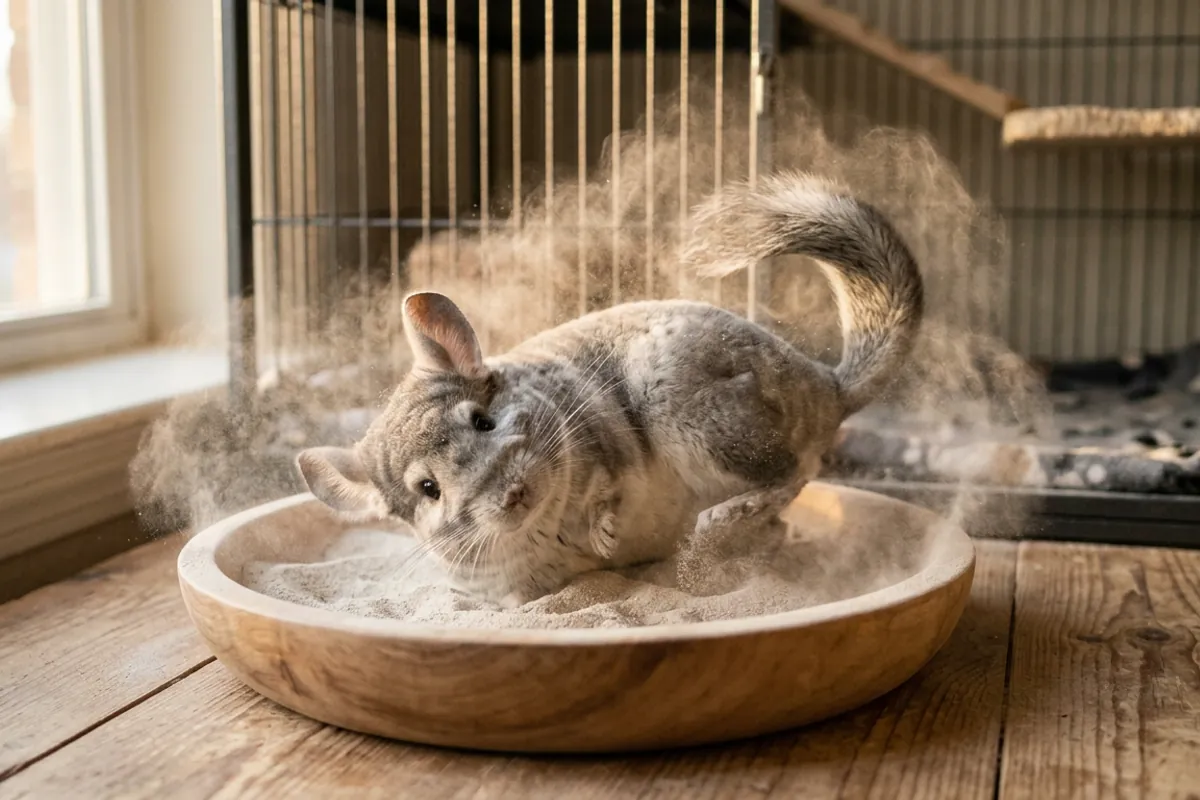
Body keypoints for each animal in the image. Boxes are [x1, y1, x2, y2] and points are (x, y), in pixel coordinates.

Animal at [296, 171, 924, 607]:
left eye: (482, 420)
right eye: (427, 489)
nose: (514, 493)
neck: (541, 526)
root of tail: (828, 385)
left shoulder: (599, 441)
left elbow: (605, 488)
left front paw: (604, 533)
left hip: (691, 410)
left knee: (790, 472)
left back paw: (717, 522)